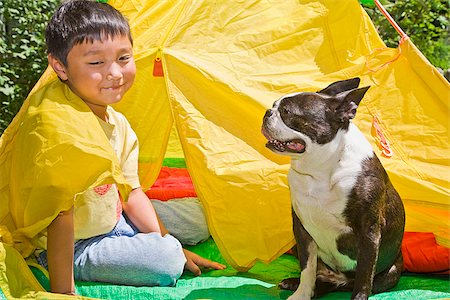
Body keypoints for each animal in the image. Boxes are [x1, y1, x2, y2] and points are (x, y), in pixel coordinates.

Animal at [260, 78, 404, 298]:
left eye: (286, 111)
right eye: (275, 106)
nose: (267, 112)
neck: (319, 171)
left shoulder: (369, 232)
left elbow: (364, 275)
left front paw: (359, 297)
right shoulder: (301, 230)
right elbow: (307, 267)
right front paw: (301, 294)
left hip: (392, 272)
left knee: (353, 282)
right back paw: (295, 283)